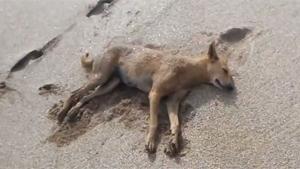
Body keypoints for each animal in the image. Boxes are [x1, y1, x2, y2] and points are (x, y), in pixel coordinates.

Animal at [55, 41, 234, 156]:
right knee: (75, 92)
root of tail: (103, 50)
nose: (233, 88)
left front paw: (173, 142)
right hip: (100, 77)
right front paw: (151, 141)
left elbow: (176, 124)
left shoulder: (172, 101)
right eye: (225, 70)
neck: (187, 69)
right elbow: (154, 122)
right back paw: (63, 111)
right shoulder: (154, 94)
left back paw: (74, 111)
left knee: (86, 95)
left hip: (110, 84)